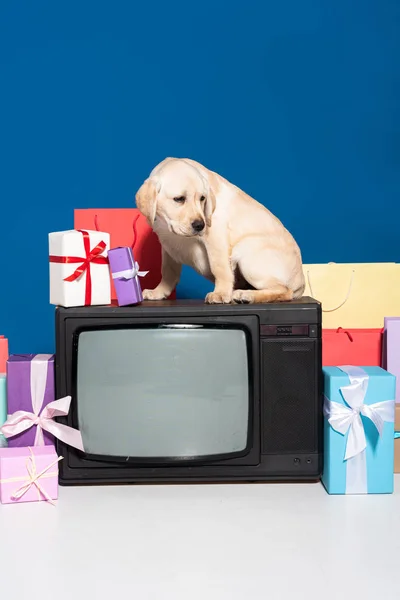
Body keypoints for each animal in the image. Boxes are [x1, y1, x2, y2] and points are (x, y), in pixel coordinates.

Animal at [136, 157, 304, 302]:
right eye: (179, 199)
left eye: (202, 198)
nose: (200, 225)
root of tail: (301, 284)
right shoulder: (167, 244)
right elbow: (167, 272)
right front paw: (159, 292)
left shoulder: (215, 236)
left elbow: (219, 268)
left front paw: (221, 293)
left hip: (245, 251)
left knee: (284, 290)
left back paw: (246, 295)